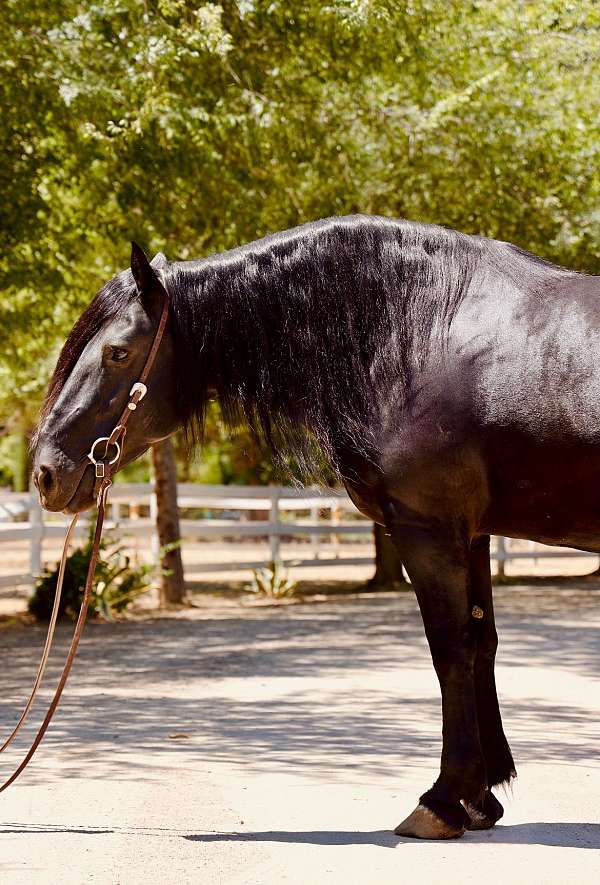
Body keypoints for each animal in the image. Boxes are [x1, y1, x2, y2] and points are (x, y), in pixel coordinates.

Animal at [31, 214, 600, 836]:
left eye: (116, 352)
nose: (46, 471)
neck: (423, 332)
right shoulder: (470, 535)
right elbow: (484, 645)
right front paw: (481, 796)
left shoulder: (429, 530)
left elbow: (452, 649)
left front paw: (444, 799)